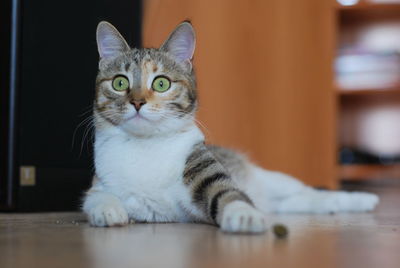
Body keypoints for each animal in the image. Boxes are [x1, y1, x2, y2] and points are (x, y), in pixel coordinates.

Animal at [83, 21, 380, 233]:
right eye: (120, 82)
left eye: (161, 83)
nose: (137, 102)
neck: (146, 146)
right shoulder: (100, 183)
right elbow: (95, 198)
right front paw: (108, 211)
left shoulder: (203, 170)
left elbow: (227, 192)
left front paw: (243, 214)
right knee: (297, 202)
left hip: (274, 179)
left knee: (309, 192)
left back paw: (360, 200)